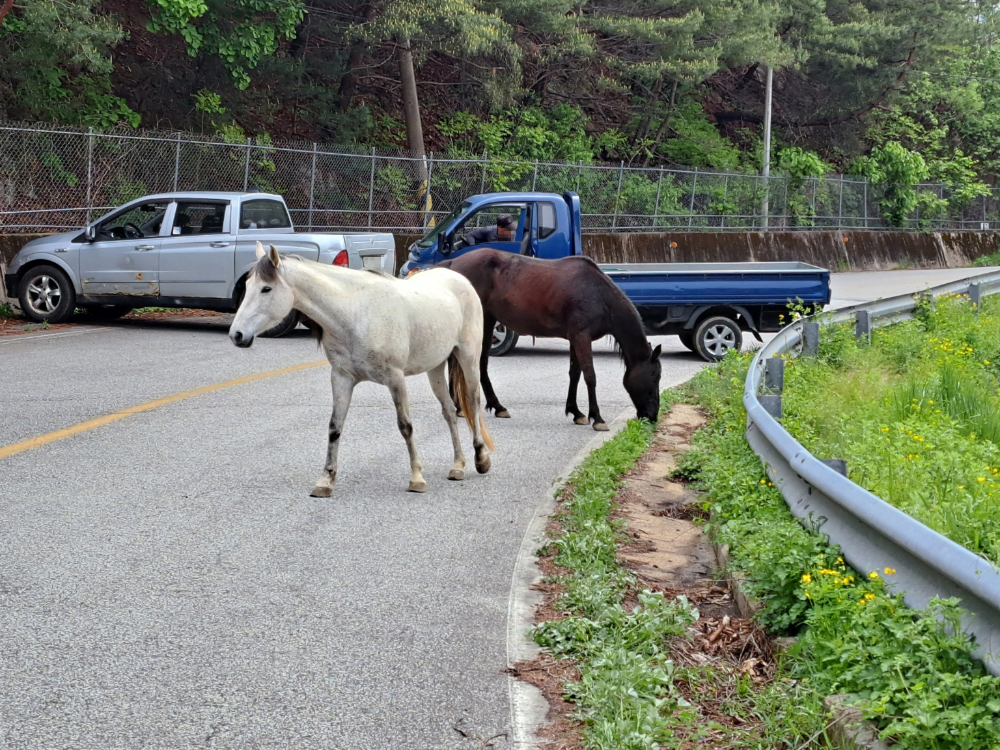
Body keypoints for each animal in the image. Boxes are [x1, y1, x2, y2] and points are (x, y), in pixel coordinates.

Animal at [227, 244, 492, 496]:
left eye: (266, 289)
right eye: (248, 285)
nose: (236, 335)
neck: (355, 314)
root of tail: (459, 278)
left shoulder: (395, 379)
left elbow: (405, 426)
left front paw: (417, 478)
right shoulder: (342, 378)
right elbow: (335, 427)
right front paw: (326, 481)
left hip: (468, 358)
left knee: (473, 402)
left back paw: (481, 459)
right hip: (435, 367)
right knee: (449, 411)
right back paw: (458, 465)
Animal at [436, 250, 656, 432]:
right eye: (655, 378)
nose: (652, 417)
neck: (597, 293)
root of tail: (454, 263)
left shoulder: (575, 339)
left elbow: (575, 374)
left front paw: (576, 412)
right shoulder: (582, 338)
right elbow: (590, 376)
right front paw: (597, 418)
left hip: (487, 320)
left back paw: (481, 407)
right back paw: (475, 406)